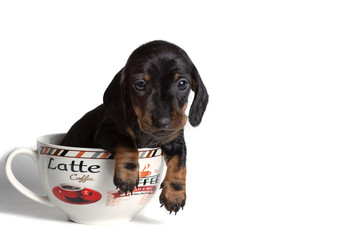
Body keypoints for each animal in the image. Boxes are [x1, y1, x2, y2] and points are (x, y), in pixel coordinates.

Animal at [60, 40, 208, 215]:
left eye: (182, 84)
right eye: (140, 85)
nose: (163, 121)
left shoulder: (175, 140)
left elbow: (180, 164)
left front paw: (175, 194)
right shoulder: (107, 130)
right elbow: (127, 144)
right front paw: (128, 175)